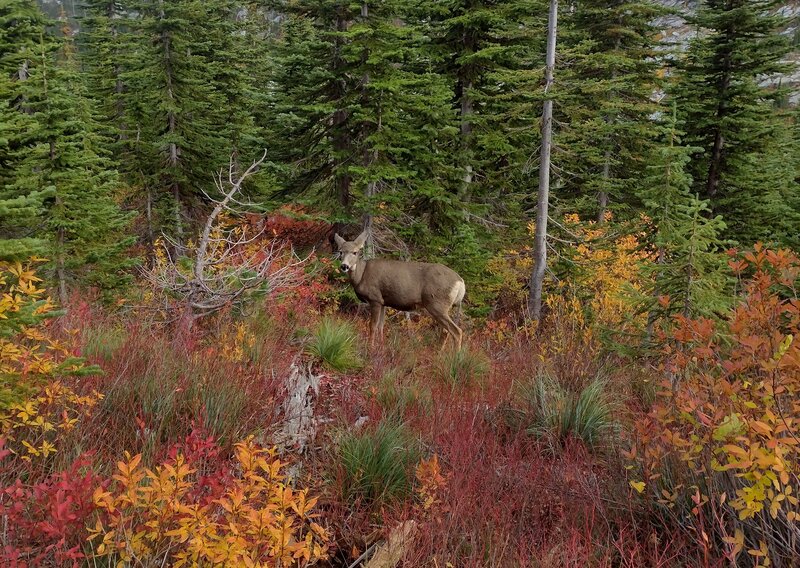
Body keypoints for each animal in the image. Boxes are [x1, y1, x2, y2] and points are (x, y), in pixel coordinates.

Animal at [334, 231, 466, 350]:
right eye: (340, 251)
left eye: (355, 252)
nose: (344, 266)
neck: (361, 275)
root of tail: (461, 282)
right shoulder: (383, 302)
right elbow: (381, 326)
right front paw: (380, 348)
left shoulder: (375, 298)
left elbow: (373, 326)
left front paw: (370, 348)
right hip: (443, 306)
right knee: (446, 331)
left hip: (437, 303)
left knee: (456, 331)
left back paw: (455, 357)